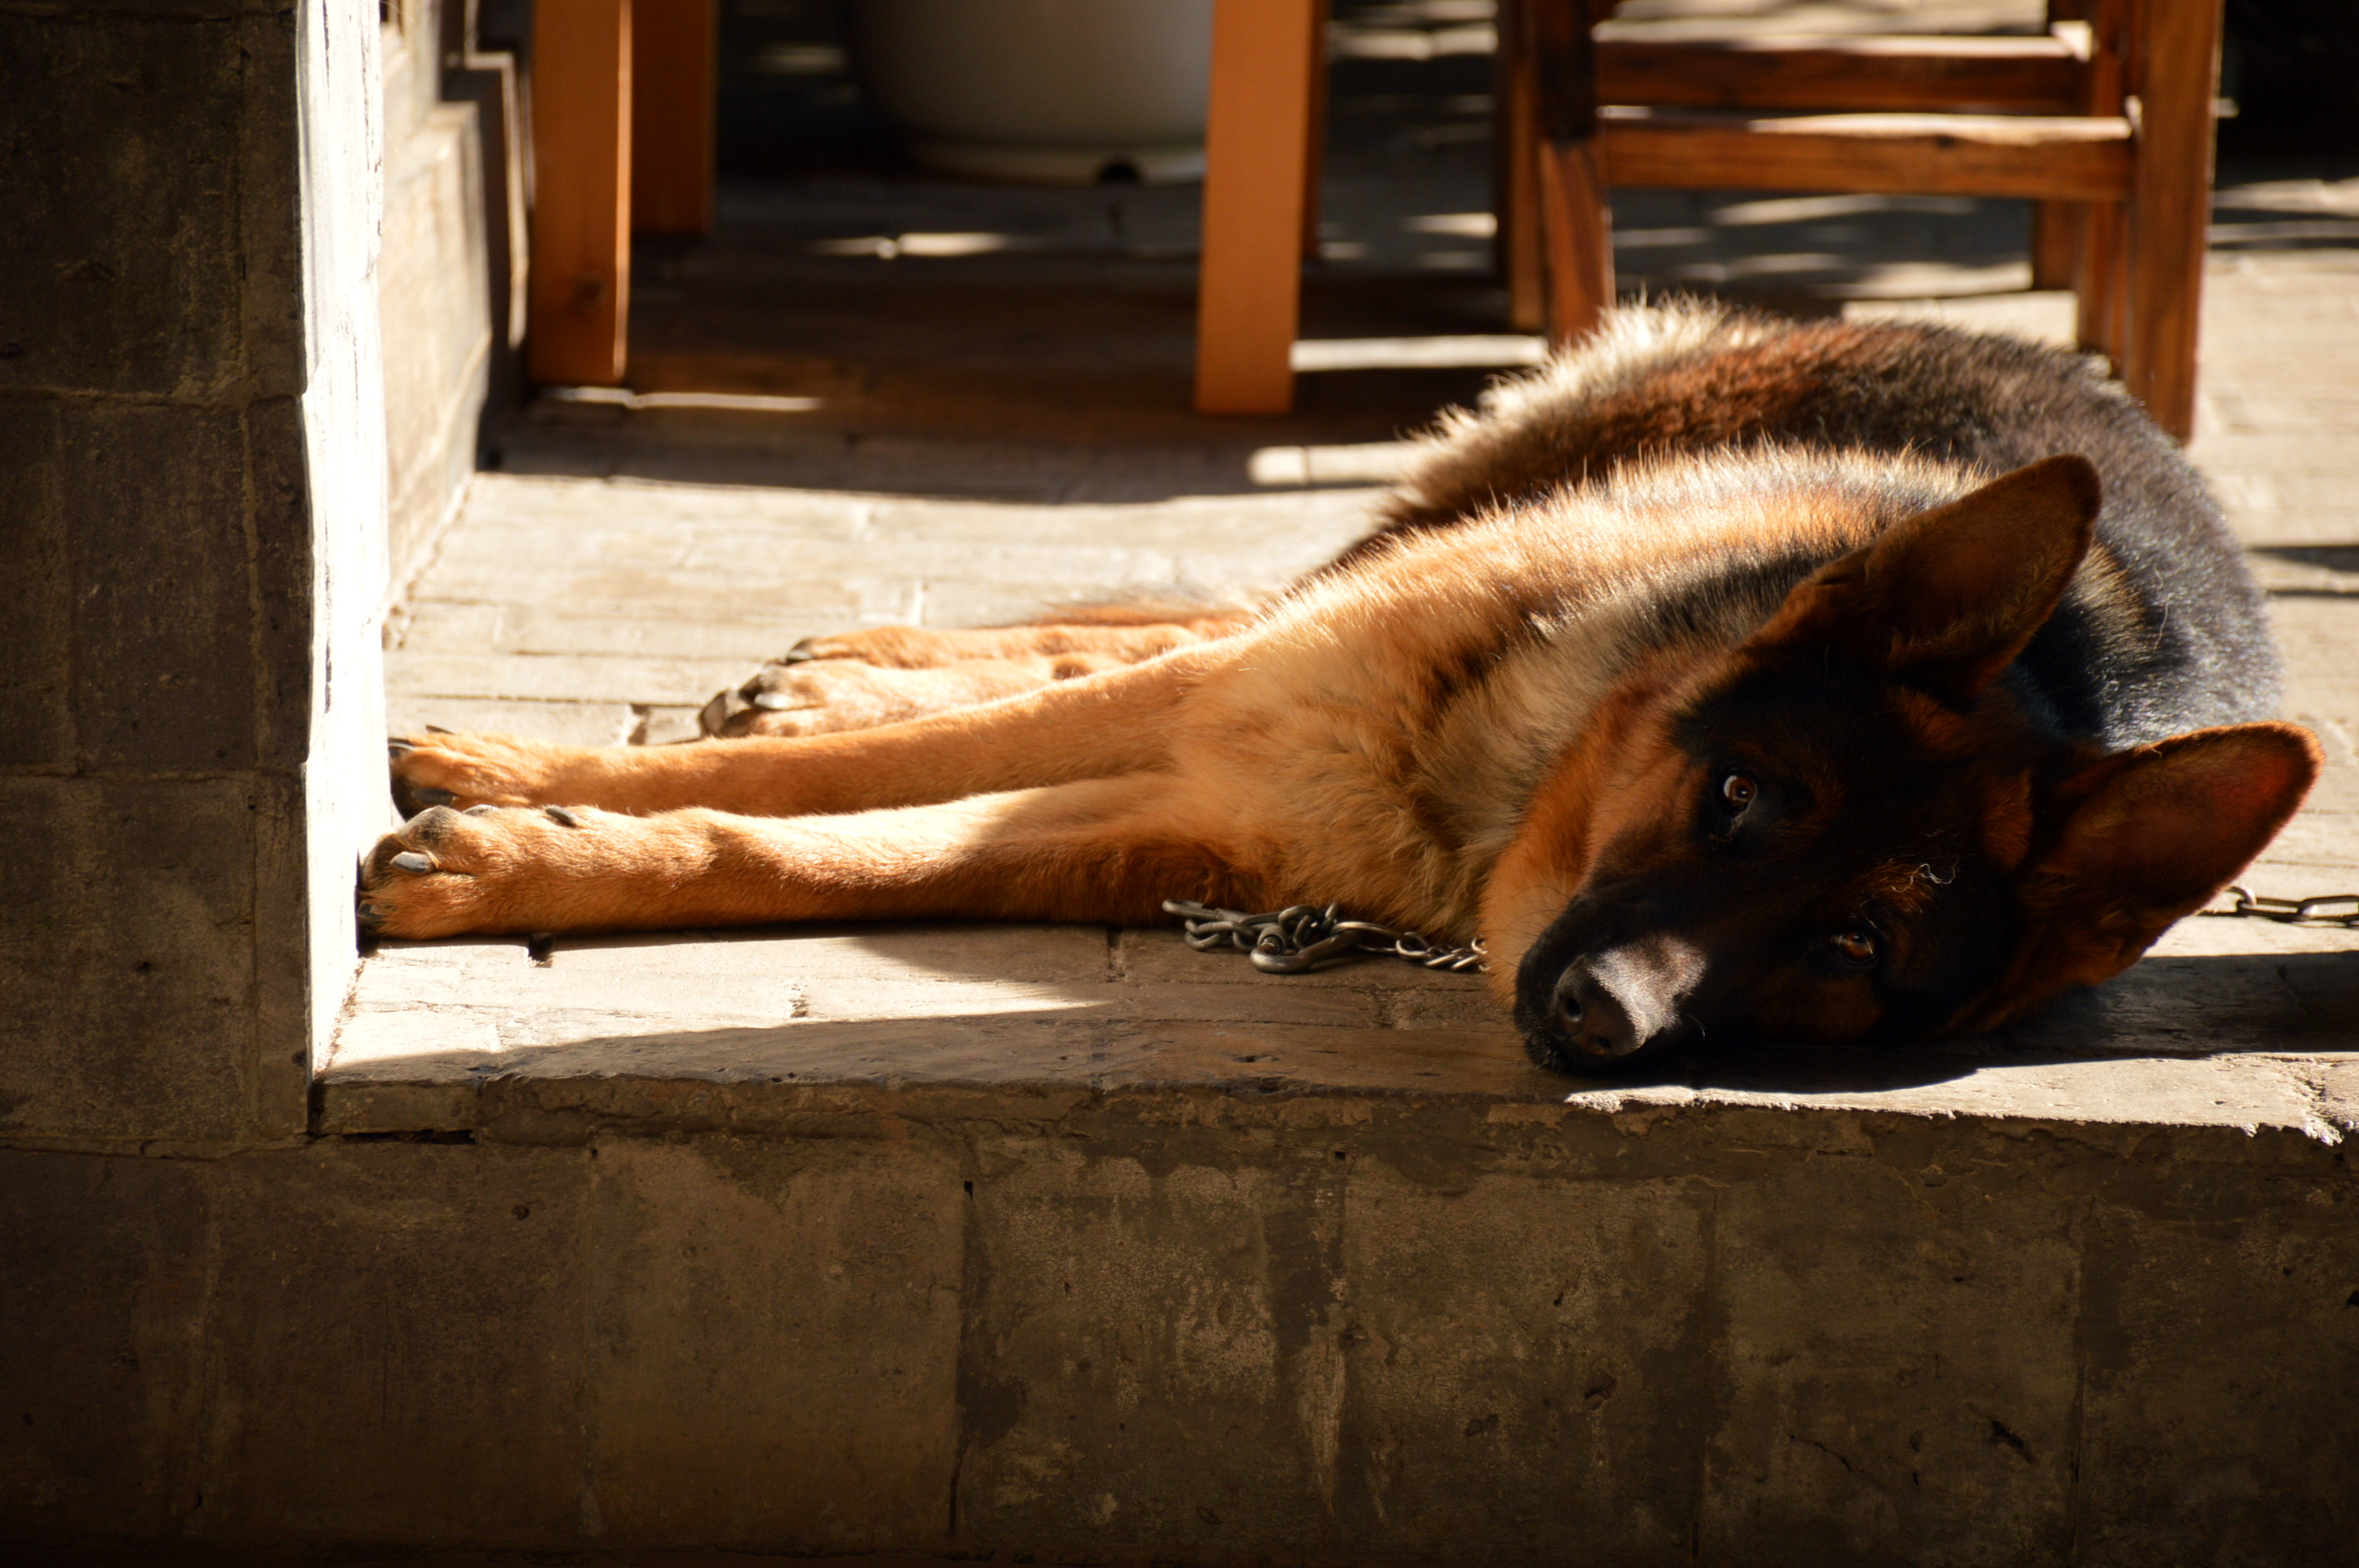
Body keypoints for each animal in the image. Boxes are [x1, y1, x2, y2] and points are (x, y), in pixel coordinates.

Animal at [368, 300, 2321, 1070]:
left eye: (1852, 941)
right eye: (1740, 799)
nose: (1600, 1020)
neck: (1507, 781)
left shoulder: (1176, 819)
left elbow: (834, 846)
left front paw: (524, 843)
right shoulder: (1230, 710)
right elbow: (825, 792)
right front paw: (493, 774)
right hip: (1458, 510)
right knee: (1220, 597)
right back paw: (842, 672)